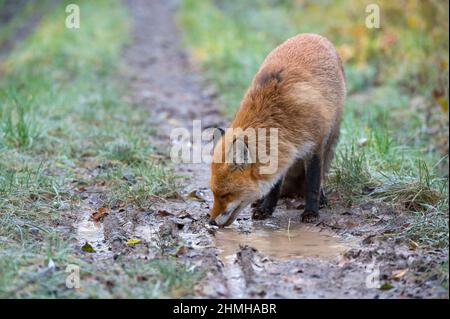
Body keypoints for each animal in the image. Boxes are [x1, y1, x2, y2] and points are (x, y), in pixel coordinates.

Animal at [209, 33, 346, 228]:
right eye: (213, 193)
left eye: (225, 195)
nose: (211, 221)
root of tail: (312, 35)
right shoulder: (282, 150)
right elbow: (274, 186)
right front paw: (266, 208)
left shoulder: (314, 145)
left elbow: (312, 184)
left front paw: (311, 212)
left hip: (331, 134)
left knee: (320, 175)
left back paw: (321, 199)